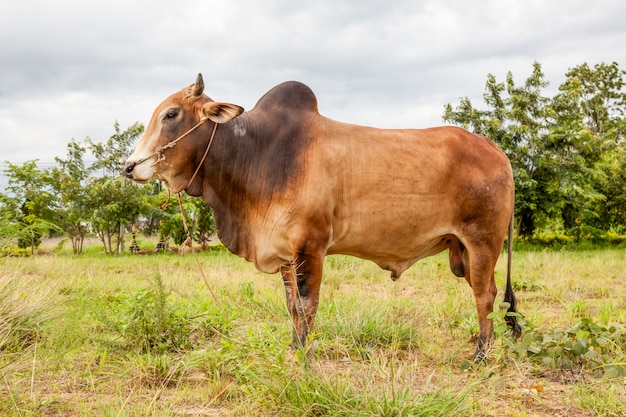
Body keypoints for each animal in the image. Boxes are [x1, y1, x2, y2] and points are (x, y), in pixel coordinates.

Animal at [124, 73, 520, 360]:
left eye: (171, 114)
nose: (129, 166)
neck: (258, 152)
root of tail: (497, 152)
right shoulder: (284, 252)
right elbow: (290, 306)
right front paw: (293, 348)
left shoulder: (310, 247)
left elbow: (306, 304)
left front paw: (306, 356)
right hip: (465, 250)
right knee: (489, 293)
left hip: (482, 243)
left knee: (484, 296)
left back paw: (481, 355)